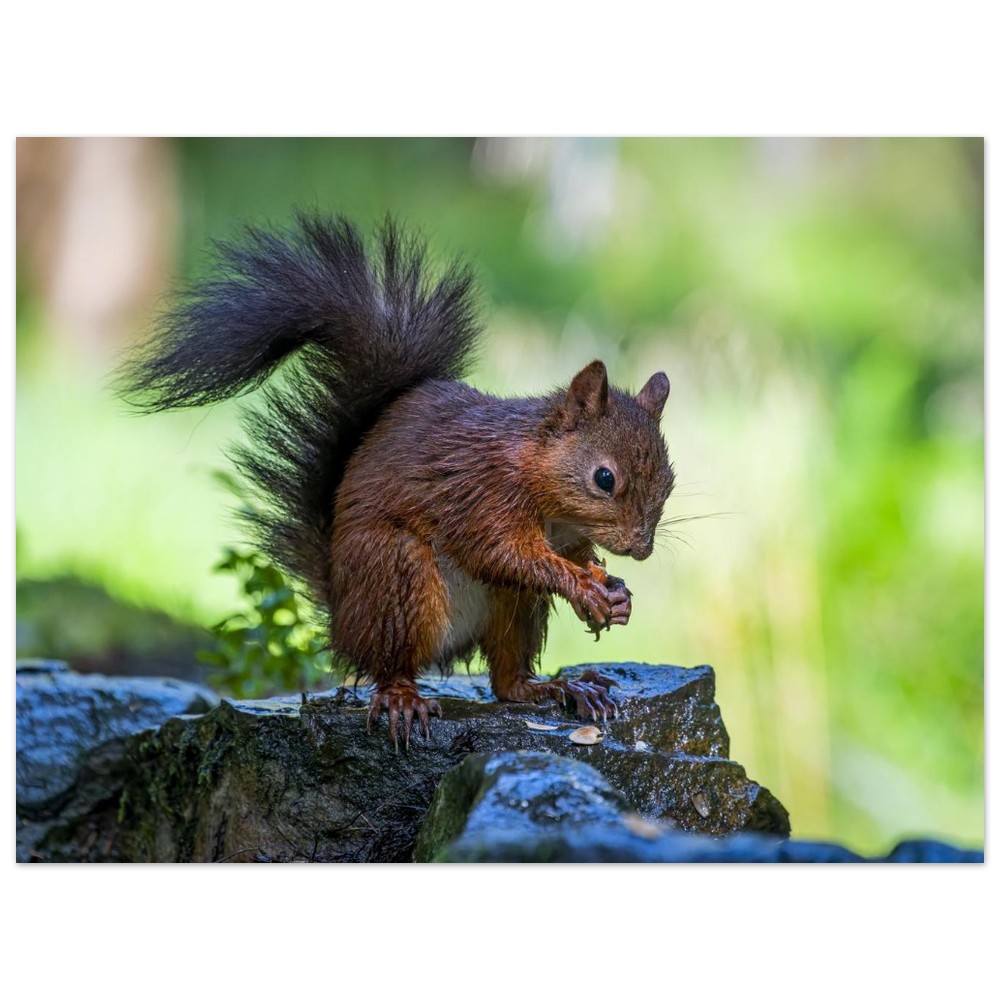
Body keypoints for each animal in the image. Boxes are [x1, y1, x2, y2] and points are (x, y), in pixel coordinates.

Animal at [117, 214, 675, 747]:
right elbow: (502, 552)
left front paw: (614, 591)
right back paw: (403, 698)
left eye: (669, 481)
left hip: (512, 607)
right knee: (391, 665)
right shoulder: (481, 494)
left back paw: (557, 687)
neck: (542, 483)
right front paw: (583, 586)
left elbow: (571, 555)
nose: (641, 549)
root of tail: (342, 619)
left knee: (505, 680)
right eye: (604, 478)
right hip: (395, 576)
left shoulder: (565, 532)